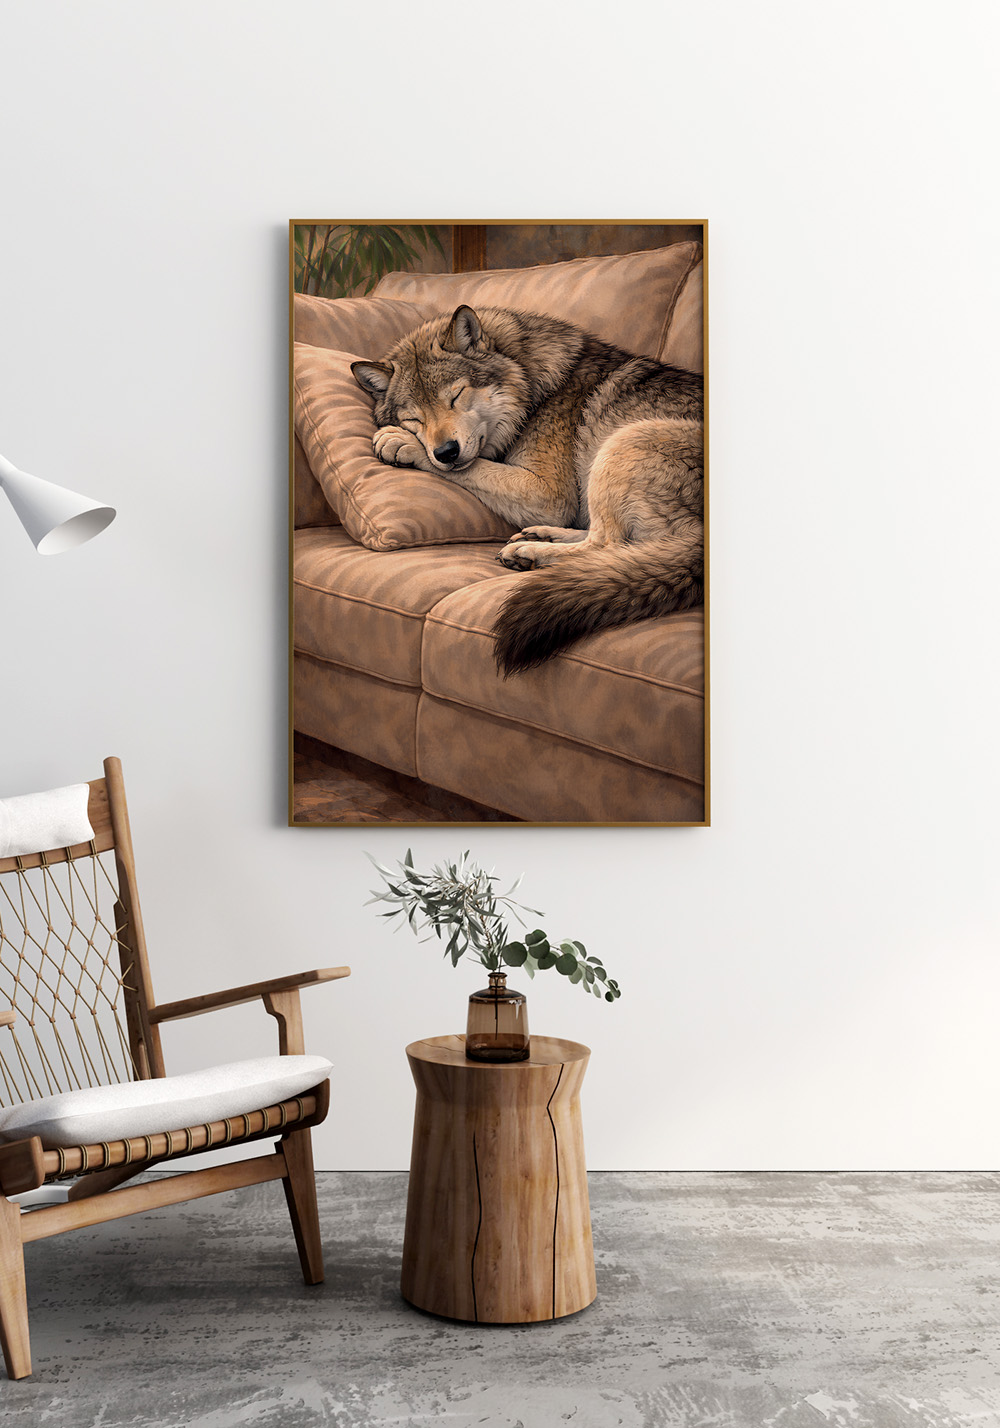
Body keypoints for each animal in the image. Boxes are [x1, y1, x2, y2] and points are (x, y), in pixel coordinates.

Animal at [351, 305, 703, 676]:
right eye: (414, 419)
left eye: (456, 396)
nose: (445, 452)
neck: (531, 384)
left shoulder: (547, 494)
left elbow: (477, 466)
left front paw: (402, 444)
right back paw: (541, 537)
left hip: (625, 440)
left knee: (606, 546)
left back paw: (531, 553)